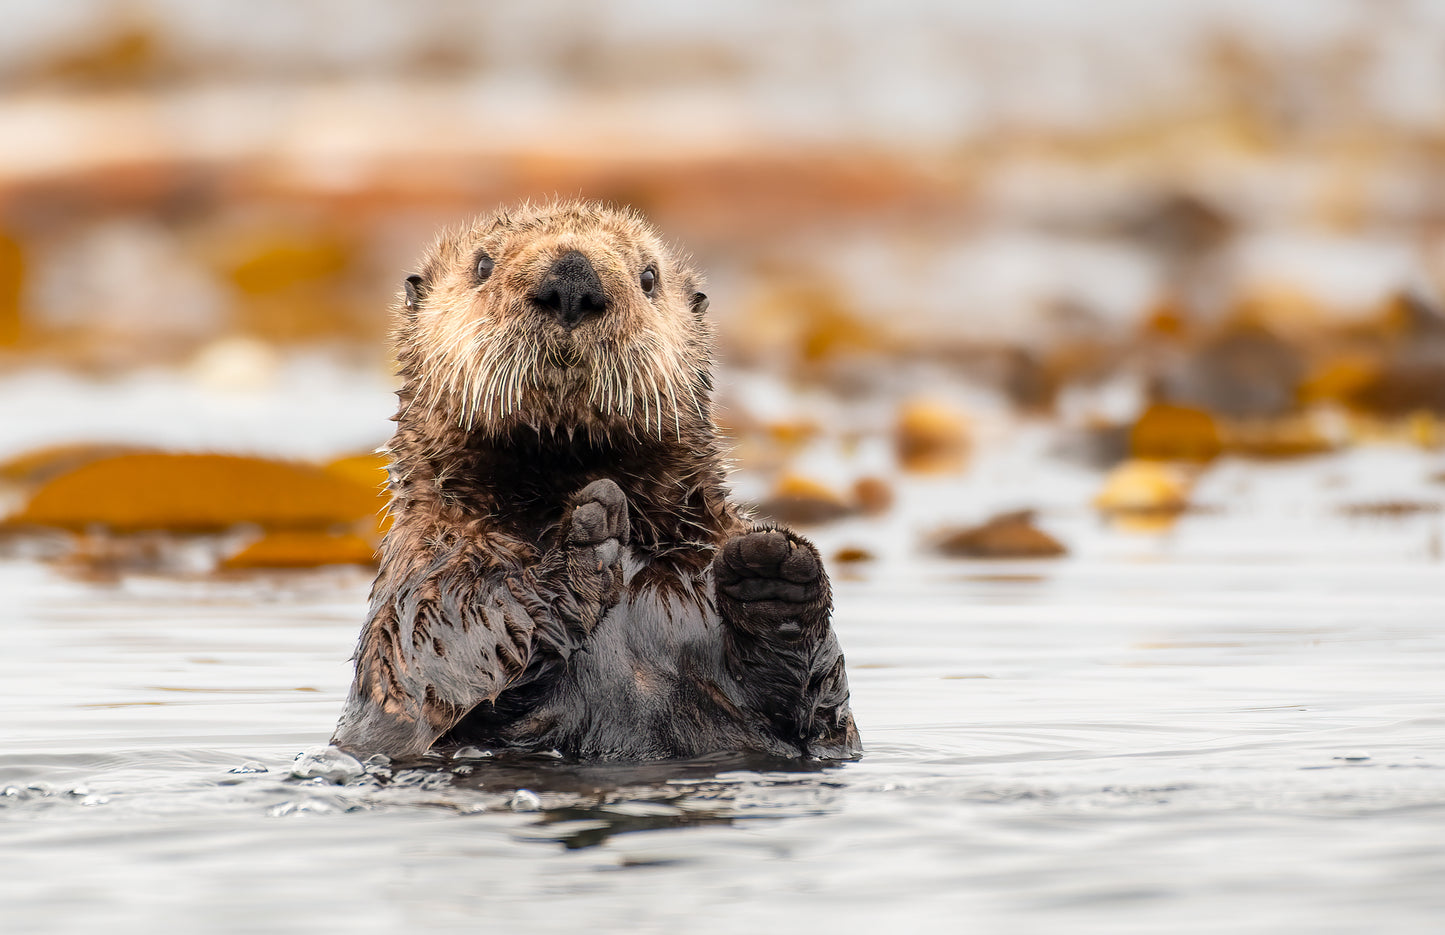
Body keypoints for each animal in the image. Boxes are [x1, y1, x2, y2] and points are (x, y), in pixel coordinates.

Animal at [330, 199, 855, 763]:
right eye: (482, 265)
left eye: (648, 277)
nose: (572, 279)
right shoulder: (426, 582)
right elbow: (455, 648)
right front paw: (591, 530)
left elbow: (822, 708)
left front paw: (774, 567)